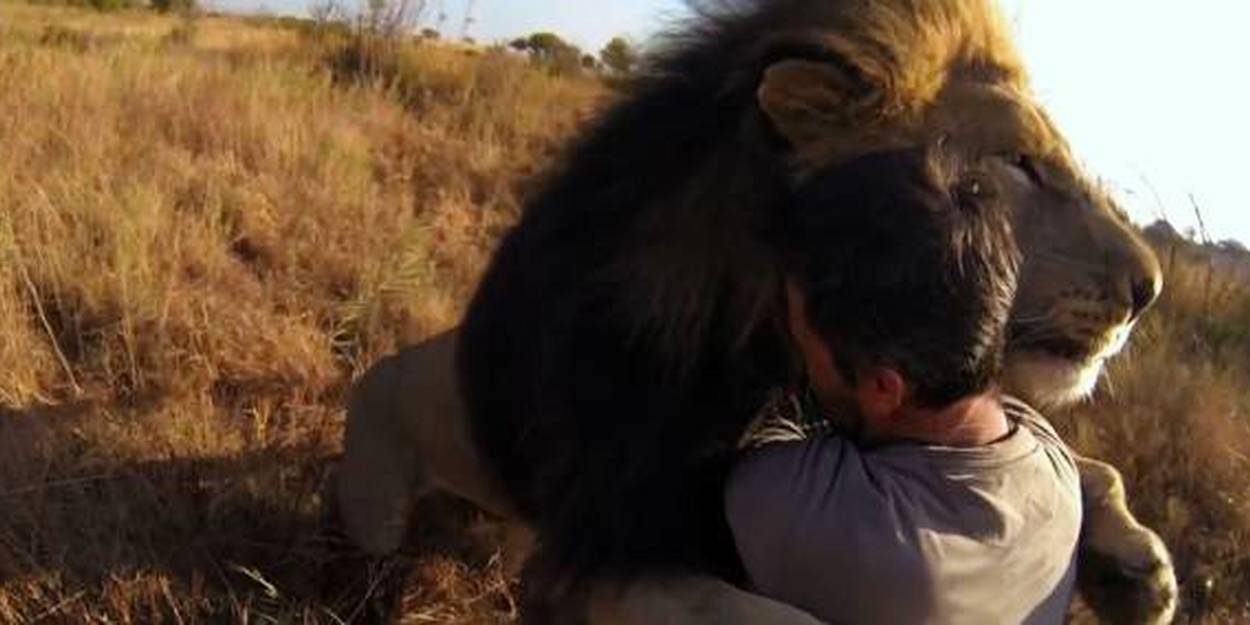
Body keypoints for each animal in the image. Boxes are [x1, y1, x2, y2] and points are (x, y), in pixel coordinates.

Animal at [337, 2, 1175, 622]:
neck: (767, 343)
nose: (1149, 291)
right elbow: (760, 611)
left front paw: (1140, 568)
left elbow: (1090, 465)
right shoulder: (592, 549)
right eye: (1018, 164)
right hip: (375, 497)